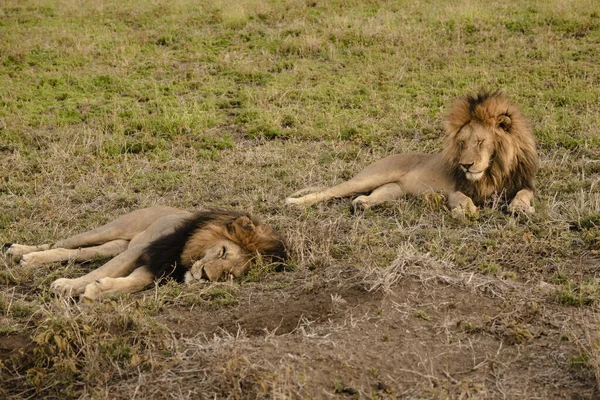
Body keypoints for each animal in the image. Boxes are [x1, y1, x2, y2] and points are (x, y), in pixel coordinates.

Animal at [4, 206, 286, 300]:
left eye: (229, 275)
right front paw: (68, 285)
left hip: (115, 245)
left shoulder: (153, 269)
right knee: (58, 242)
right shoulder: (146, 251)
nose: (205, 275)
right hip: (112, 228)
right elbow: (103, 271)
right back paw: (21, 253)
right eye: (224, 252)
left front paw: (98, 291)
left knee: (78, 252)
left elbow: (130, 282)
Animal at [286, 90, 540, 216]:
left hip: (395, 190)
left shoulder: (522, 183)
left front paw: (520, 208)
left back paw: (362, 205)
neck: (494, 170)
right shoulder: (455, 188)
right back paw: (294, 203)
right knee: (329, 192)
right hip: (368, 178)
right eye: (461, 143)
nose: (466, 165)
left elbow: (524, 194)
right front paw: (465, 211)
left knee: (365, 197)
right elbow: (461, 198)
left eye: (480, 142)